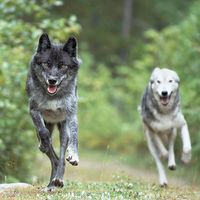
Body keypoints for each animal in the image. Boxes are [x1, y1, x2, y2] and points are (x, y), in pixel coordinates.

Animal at [25, 33, 80, 191]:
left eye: (62, 66)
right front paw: (45, 143)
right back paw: (51, 183)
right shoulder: (33, 110)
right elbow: (44, 132)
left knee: (61, 158)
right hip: (42, 128)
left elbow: (74, 137)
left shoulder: (71, 115)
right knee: (53, 158)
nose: (52, 80)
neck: (53, 96)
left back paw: (58, 180)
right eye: (47, 64)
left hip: (63, 130)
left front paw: (74, 155)